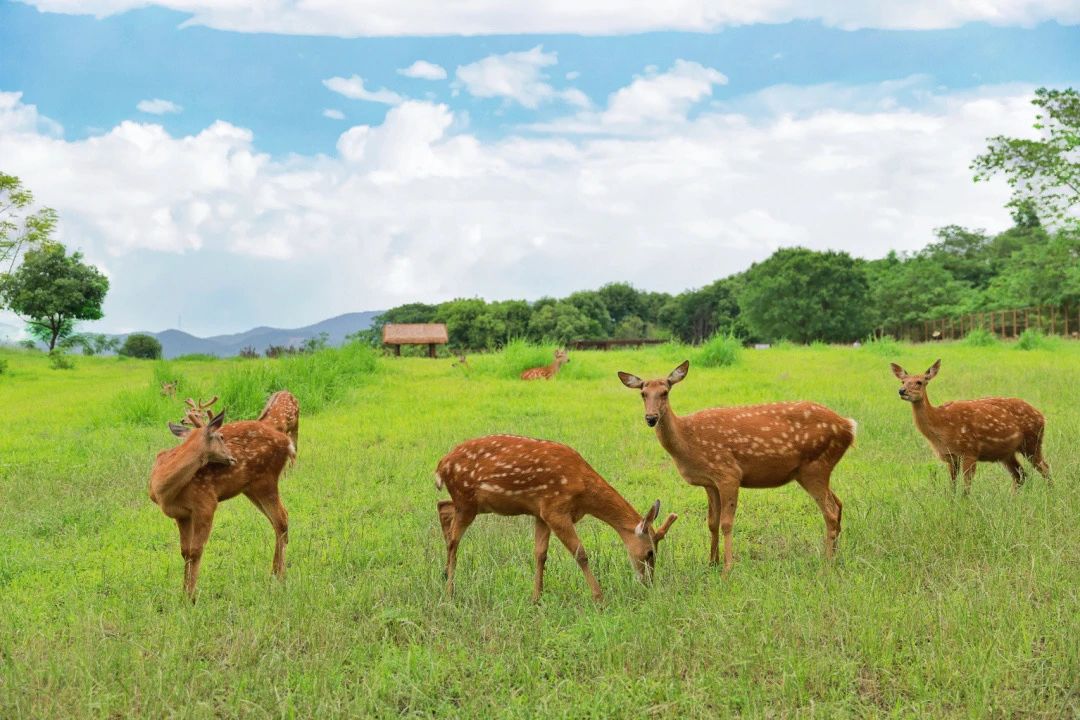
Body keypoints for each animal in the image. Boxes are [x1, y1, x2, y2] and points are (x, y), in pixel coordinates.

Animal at [150, 397, 295, 600]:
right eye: (221, 437)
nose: (232, 458)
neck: (163, 490)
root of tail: (287, 441)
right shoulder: (182, 514)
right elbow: (185, 552)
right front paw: (184, 592)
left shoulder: (206, 503)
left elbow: (196, 551)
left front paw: (191, 597)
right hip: (251, 488)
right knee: (279, 520)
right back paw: (277, 574)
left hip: (266, 480)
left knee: (281, 519)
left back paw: (278, 577)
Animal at [432, 436, 673, 600]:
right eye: (650, 553)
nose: (648, 583)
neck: (584, 493)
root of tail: (440, 466)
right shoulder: (555, 509)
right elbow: (580, 554)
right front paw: (599, 597)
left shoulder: (541, 512)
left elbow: (540, 554)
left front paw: (536, 598)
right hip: (466, 499)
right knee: (454, 540)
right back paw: (450, 591)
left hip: (470, 503)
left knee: (443, 507)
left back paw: (444, 574)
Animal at [622, 360, 855, 574]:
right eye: (643, 393)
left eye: (665, 392)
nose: (651, 418)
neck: (688, 440)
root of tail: (849, 427)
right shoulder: (709, 482)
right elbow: (712, 522)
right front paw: (711, 563)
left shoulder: (728, 473)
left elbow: (726, 523)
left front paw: (727, 569)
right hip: (814, 470)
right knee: (838, 503)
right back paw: (836, 555)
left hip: (815, 467)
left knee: (830, 512)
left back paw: (827, 564)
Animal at [889, 360, 1049, 496]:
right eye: (903, 381)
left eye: (919, 382)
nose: (901, 391)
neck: (941, 424)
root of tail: (1041, 416)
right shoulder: (951, 457)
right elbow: (952, 487)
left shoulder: (970, 452)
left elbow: (966, 489)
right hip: (1007, 453)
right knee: (1020, 475)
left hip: (1032, 441)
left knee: (1045, 469)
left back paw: (1050, 494)